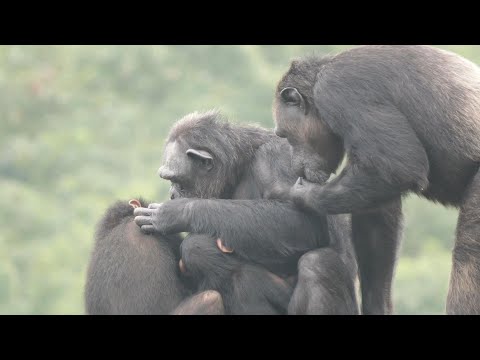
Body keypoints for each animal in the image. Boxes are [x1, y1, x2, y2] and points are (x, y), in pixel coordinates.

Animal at [272, 44, 480, 316]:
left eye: (284, 134)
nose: (294, 163)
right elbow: (376, 218)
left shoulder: (340, 91)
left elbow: (397, 166)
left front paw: (296, 194)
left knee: (468, 255)